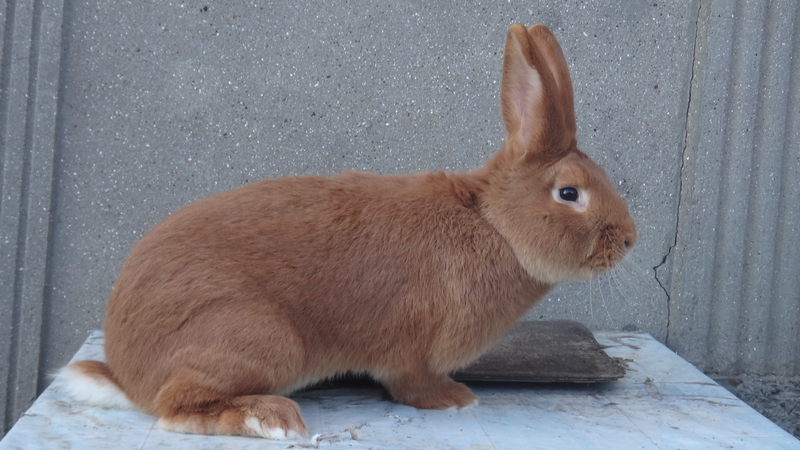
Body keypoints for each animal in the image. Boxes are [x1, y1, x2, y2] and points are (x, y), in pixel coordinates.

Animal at [61, 23, 636, 440]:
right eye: (570, 194)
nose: (630, 240)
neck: (494, 223)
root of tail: (127, 372)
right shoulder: (413, 350)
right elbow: (413, 385)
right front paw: (455, 400)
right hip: (258, 335)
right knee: (174, 407)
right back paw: (269, 418)